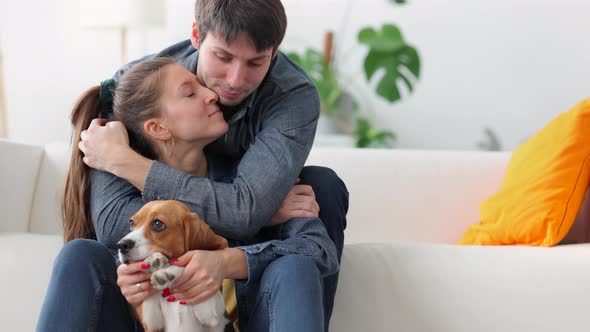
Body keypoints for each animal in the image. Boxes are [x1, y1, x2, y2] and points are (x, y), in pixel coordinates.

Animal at [118, 200, 231, 332]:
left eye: (157, 224)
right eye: (132, 223)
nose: (121, 245)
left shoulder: (211, 315)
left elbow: (187, 264)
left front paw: (167, 272)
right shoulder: (152, 325)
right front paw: (154, 260)